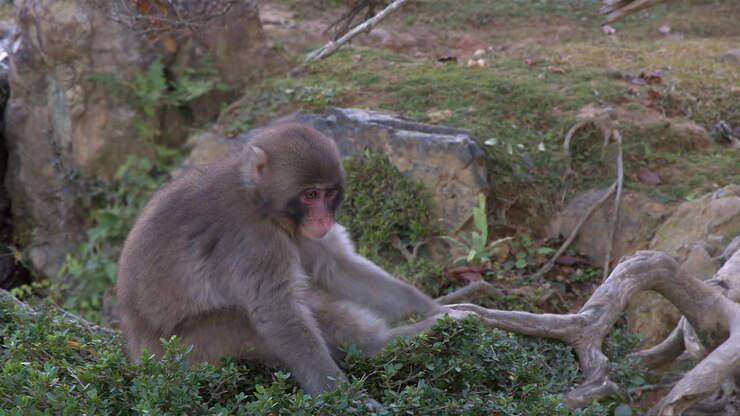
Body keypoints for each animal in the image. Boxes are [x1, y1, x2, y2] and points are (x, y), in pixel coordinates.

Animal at [116, 123, 467, 395]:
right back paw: (386, 343)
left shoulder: (297, 230)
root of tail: (141, 356)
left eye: (329, 193)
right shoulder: (254, 239)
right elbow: (276, 310)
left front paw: (434, 308)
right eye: (310, 195)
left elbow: (336, 269)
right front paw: (343, 396)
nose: (323, 219)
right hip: (192, 351)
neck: (258, 200)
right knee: (244, 320)